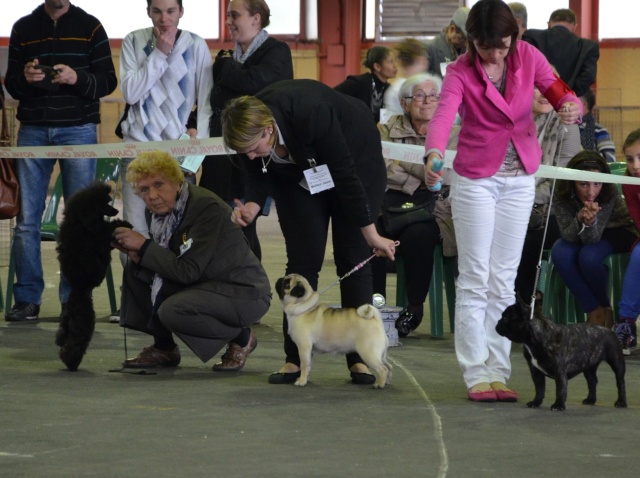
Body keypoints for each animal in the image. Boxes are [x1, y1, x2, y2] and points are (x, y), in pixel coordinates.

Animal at [496, 302, 624, 410]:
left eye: (505, 318)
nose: (497, 324)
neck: (535, 339)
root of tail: (609, 330)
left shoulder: (559, 371)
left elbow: (560, 389)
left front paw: (559, 405)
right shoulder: (535, 371)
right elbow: (539, 388)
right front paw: (536, 402)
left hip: (616, 361)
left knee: (620, 381)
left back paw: (621, 402)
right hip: (588, 366)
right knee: (592, 381)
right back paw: (591, 400)